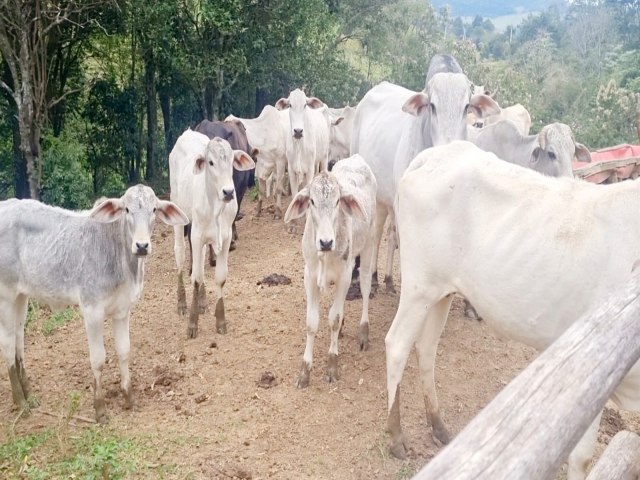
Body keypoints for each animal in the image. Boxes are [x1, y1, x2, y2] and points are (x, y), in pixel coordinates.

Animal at [0, 186, 190, 422]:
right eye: (127, 209)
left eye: (154, 209)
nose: (142, 245)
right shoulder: (92, 309)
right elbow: (98, 359)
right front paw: (100, 408)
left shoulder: (123, 309)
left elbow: (124, 351)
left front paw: (129, 397)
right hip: (6, 294)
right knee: (7, 343)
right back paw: (21, 402)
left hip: (21, 295)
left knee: (19, 339)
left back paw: (29, 395)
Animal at [170, 127, 255, 338]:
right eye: (210, 162)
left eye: (231, 160)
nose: (228, 192)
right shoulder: (197, 235)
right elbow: (196, 278)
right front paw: (192, 324)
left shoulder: (225, 238)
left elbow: (219, 277)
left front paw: (220, 320)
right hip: (178, 212)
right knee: (180, 253)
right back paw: (182, 302)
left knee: (199, 260)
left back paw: (202, 302)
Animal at [284, 156, 376, 388]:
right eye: (312, 201)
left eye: (337, 202)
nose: (326, 242)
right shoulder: (309, 276)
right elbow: (312, 322)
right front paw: (305, 371)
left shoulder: (344, 276)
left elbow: (333, 318)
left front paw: (332, 365)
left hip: (369, 244)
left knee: (365, 285)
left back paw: (363, 332)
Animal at [384, 140, 640, 480]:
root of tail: (437, 153)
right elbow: (582, 458)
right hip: (418, 286)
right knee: (397, 344)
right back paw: (396, 436)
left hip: (442, 290)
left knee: (426, 348)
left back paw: (438, 426)